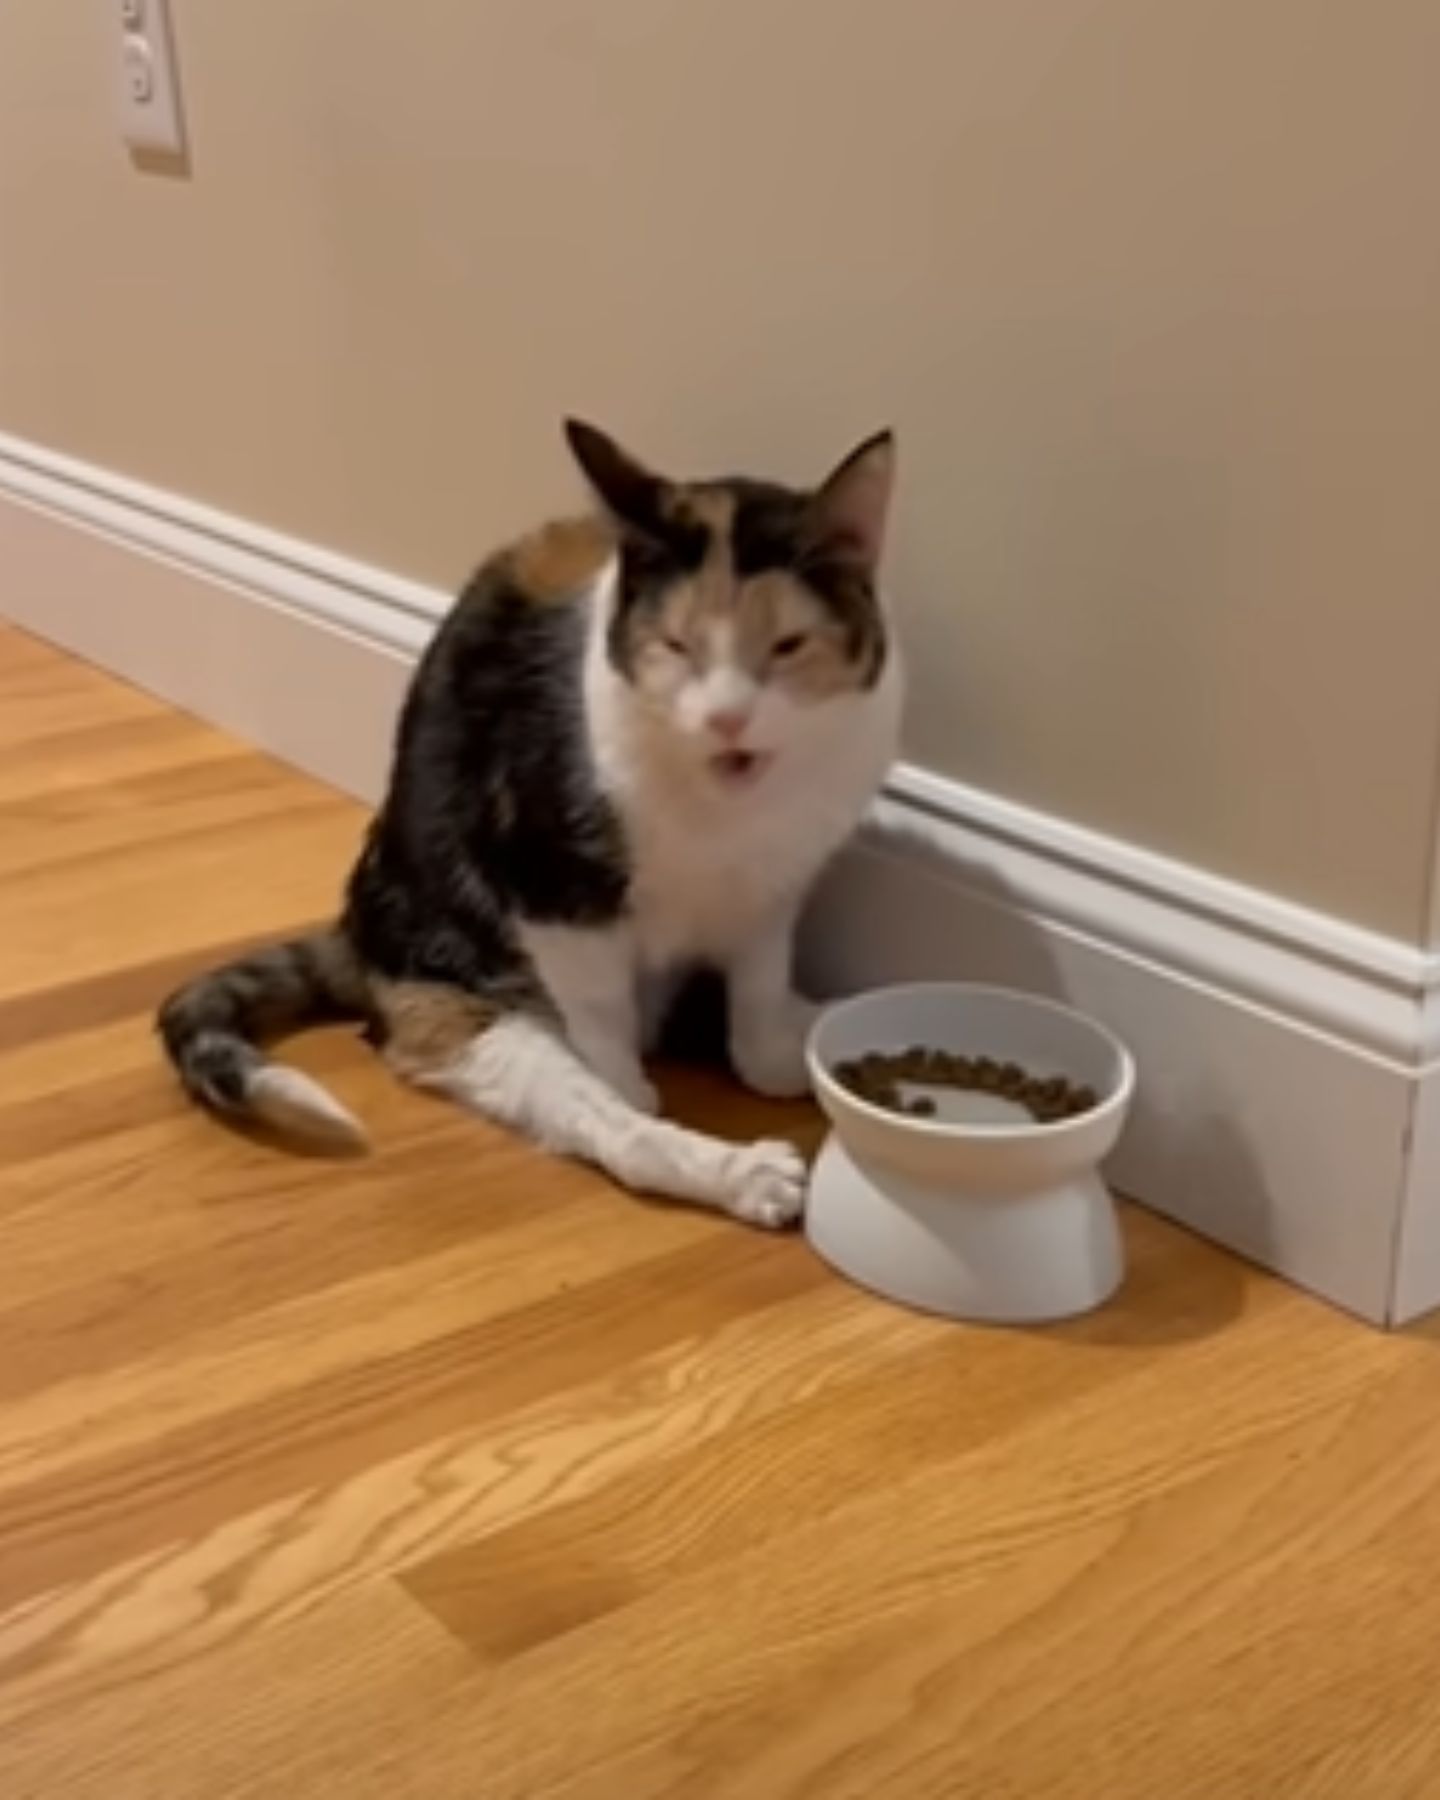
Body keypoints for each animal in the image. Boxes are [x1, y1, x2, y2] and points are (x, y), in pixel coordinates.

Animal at [157, 421, 900, 1224]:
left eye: (788, 646)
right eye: (675, 646)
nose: (725, 720)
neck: (728, 811)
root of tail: (360, 927)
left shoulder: (775, 886)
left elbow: (760, 992)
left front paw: (777, 1057)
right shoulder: (547, 883)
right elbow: (602, 1022)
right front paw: (631, 1081)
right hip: (474, 1008)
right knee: (611, 1130)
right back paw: (749, 1174)